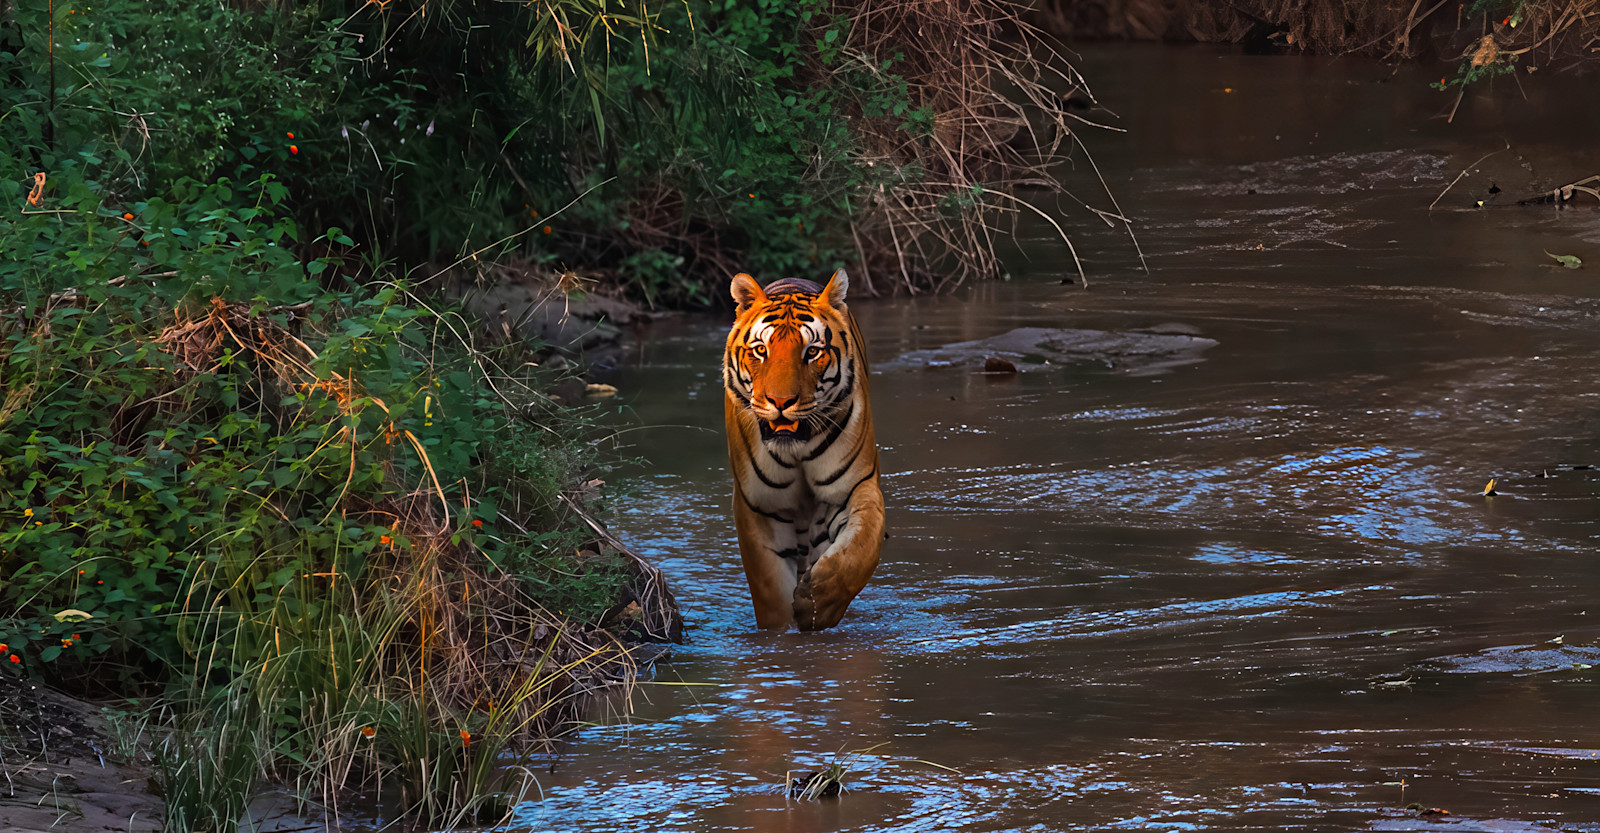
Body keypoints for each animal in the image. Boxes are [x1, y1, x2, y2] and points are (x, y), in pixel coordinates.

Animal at [722, 269, 884, 631]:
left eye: (812, 352)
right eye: (760, 350)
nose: (780, 402)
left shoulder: (855, 487)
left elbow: (860, 551)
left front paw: (816, 602)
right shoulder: (759, 505)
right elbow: (769, 589)